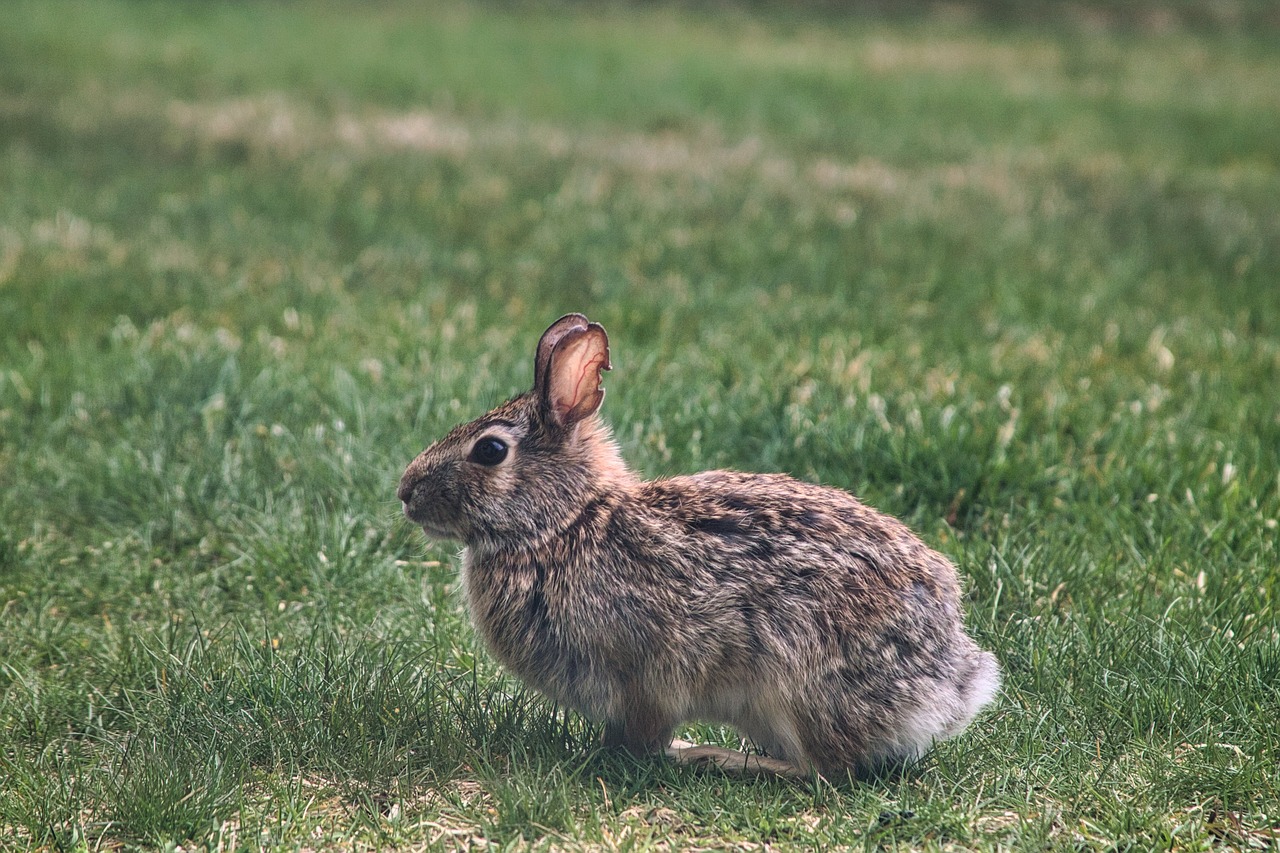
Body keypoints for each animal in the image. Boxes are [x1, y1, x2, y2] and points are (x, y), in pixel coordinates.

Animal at [399, 313, 998, 778]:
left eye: (490, 451)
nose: (406, 492)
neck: (564, 525)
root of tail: (954, 682)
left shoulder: (641, 676)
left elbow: (644, 732)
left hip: (797, 687)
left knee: (823, 768)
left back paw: (715, 756)